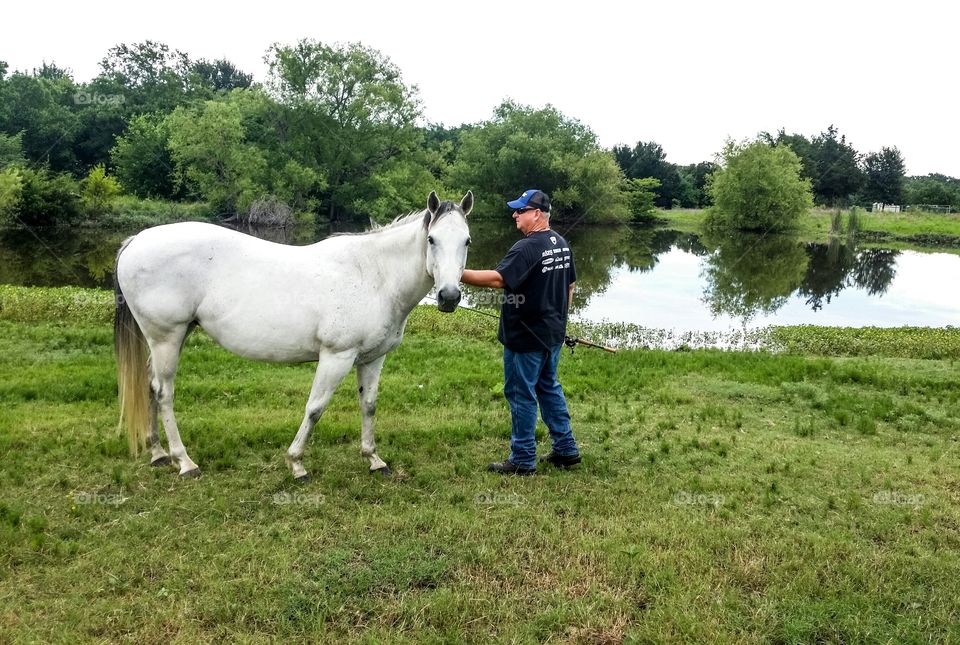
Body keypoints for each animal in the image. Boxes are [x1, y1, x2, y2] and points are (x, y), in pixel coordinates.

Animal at [116, 190, 472, 478]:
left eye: (466, 241)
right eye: (432, 240)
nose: (449, 296)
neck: (374, 275)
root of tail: (137, 240)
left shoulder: (372, 359)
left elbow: (368, 405)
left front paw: (373, 459)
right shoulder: (337, 357)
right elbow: (315, 408)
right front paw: (296, 463)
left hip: (168, 339)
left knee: (150, 386)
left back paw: (158, 453)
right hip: (166, 338)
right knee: (164, 393)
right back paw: (184, 461)